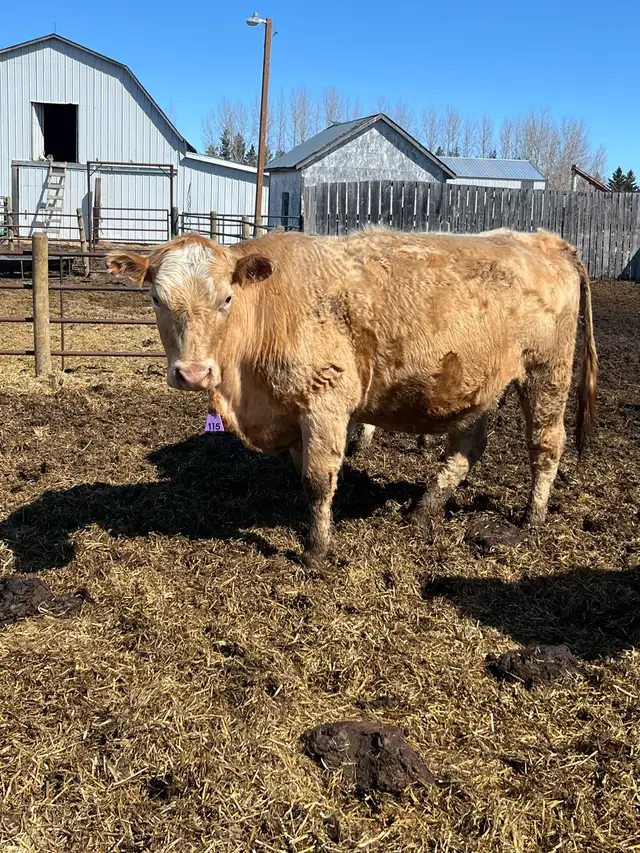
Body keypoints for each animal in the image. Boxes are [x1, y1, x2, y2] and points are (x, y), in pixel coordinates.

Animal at [108, 227, 597, 569]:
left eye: (227, 298)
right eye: (156, 299)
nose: (193, 373)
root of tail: (544, 240)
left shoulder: (325, 401)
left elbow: (318, 479)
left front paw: (316, 551)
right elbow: (305, 472)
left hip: (547, 372)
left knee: (545, 445)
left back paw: (532, 517)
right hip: (477, 384)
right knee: (467, 448)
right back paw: (423, 511)